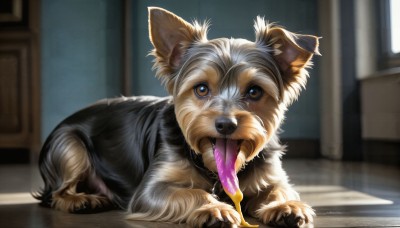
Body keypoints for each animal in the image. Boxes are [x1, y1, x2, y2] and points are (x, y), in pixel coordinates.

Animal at [36, 7, 320, 228]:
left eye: (254, 91)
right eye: (202, 89)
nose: (225, 124)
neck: (212, 168)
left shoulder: (270, 176)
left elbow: (279, 188)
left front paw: (288, 205)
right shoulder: (150, 191)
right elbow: (193, 192)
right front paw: (213, 208)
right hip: (67, 144)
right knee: (56, 191)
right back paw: (81, 199)